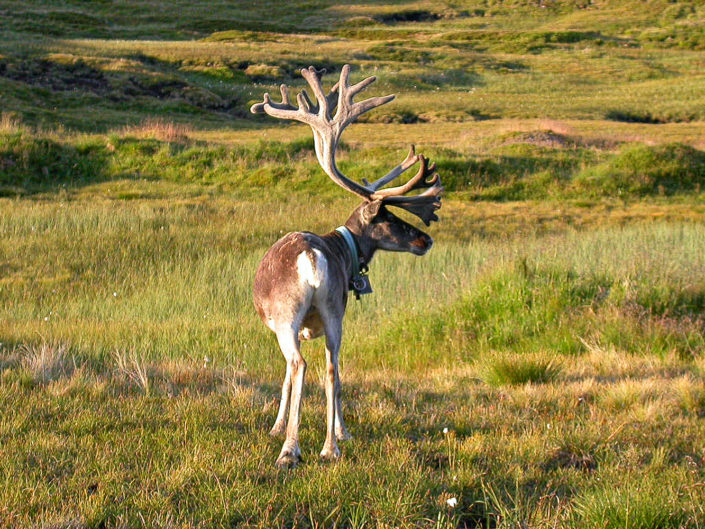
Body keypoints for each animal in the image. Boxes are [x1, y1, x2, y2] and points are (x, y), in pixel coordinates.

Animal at [251, 65, 442, 468]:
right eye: (390, 218)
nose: (425, 240)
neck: (344, 247)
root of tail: (311, 257)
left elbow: (286, 376)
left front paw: (277, 427)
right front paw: (340, 432)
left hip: (289, 314)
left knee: (300, 365)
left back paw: (291, 449)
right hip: (332, 310)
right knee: (332, 368)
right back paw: (331, 445)